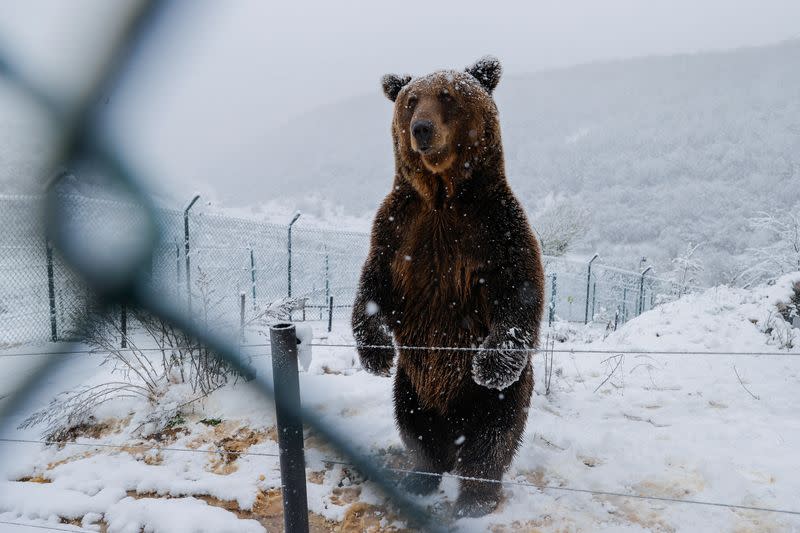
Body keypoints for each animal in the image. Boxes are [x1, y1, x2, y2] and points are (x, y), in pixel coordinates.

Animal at [350, 57, 544, 516]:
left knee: (494, 437)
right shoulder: (398, 229)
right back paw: (420, 477)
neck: (443, 196)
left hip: (496, 399)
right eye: (410, 100)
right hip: (413, 382)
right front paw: (376, 353)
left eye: (448, 95)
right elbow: (373, 285)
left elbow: (519, 289)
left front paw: (490, 364)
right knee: (415, 428)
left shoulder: (496, 227)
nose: (422, 128)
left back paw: (475, 496)